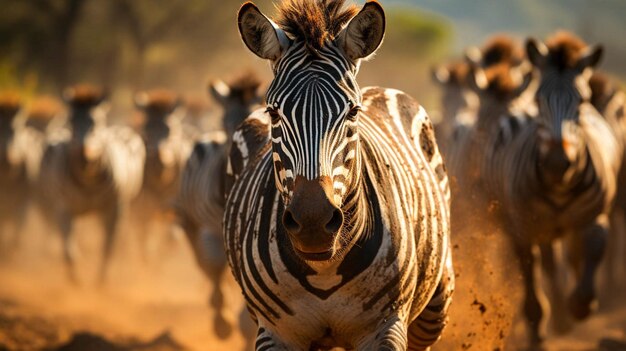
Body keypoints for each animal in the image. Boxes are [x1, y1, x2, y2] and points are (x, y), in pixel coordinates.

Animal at [38, 84, 145, 284]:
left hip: (126, 203)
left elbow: (108, 247)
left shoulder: (114, 207)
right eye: (71, 122)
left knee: (122, 236)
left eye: (97, 122)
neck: (88, 181)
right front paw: (75, 282)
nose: (84, 157)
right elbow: (69, 250)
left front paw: (101, 282)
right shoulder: (63, 207)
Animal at [132, 91, 190, 262]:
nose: (159, 162)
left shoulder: (176, 214)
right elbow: (145, 248)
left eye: (171, 130)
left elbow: (170, 242)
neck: (161, 182)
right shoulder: (142, 214)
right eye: (145, 130)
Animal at [174, 72, 262, 344]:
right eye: (224, 121)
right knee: (204, 264)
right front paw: (222, 323)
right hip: (189, 222)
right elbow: (213, 265)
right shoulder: (209, 229)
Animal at [224, 1, 454, 350]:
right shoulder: (275, 332)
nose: (313, 223)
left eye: (353, 112)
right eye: (274, 113)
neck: (324, 268)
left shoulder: (387, 327)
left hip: (436, 298)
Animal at [478, 32, 620, 346]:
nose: (557, 163)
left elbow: (592, 254)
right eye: (539, 100)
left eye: (582, 101)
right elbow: (532, 285)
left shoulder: (595, 217)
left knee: (567, 259)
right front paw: (538, 334)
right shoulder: (522, 227)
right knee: (550, 264)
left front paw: (579, 306)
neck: (560, 187)